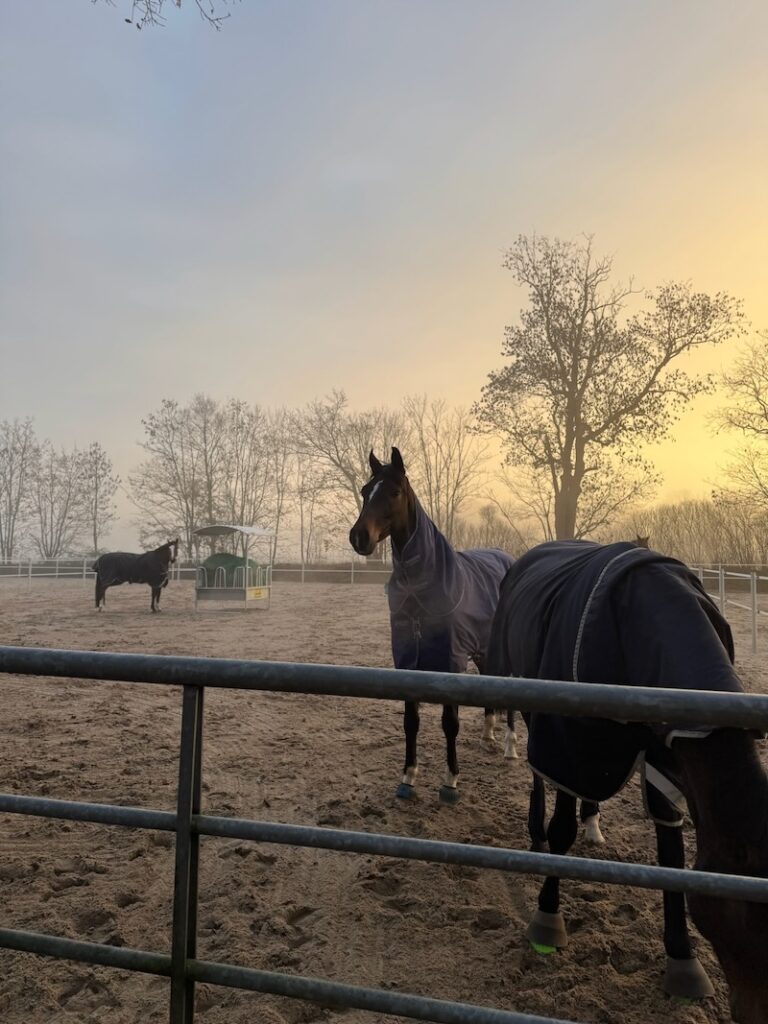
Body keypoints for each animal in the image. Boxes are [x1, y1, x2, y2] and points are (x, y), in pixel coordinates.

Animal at [349, 447, 517, 804]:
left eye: (394, 492)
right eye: (365, 490)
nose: (359, 537)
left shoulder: (451, 661)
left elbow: (449, 722)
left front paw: (450, 782)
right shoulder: (407, 660)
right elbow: (411, 721)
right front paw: (407, 778)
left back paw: (510, 747)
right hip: (483, 647)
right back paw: (488, 734)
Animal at [486, 539, 768, 1019]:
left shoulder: (665, 752)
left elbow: (672, 853)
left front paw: (683, 962)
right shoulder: (566, 737)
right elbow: (560, 830)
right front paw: (547, 920)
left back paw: (593, 822)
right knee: (538, 780)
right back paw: (536, 833)